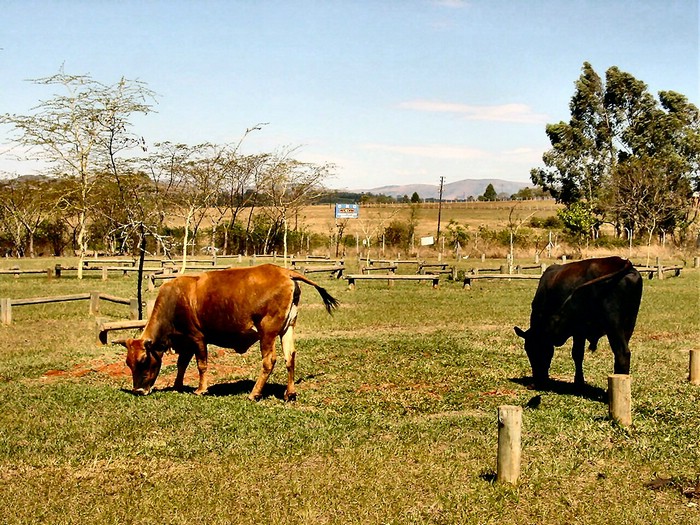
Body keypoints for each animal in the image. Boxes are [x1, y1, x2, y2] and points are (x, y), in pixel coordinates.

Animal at [120, 262, 340, 402]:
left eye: (143, 360)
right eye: (128, 363)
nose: (138, 390)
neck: (174, 301)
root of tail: (285, 272)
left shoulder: (197, 338)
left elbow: (201, 365)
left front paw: (201, 389)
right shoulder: (186, 342)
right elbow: (181, 364)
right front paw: (177, 385)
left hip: (267, 332)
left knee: (269, 360)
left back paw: (254, 393)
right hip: (287, 328)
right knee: (290, 357)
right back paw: (290, 393)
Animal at [512, 256, 644, 386]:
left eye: (533, 349)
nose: (537, 380)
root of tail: (622, 262)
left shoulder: (578, 330)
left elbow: (577, 354)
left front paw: (578, 382)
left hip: (613, 325)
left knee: (622, 354)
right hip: (629, 325)